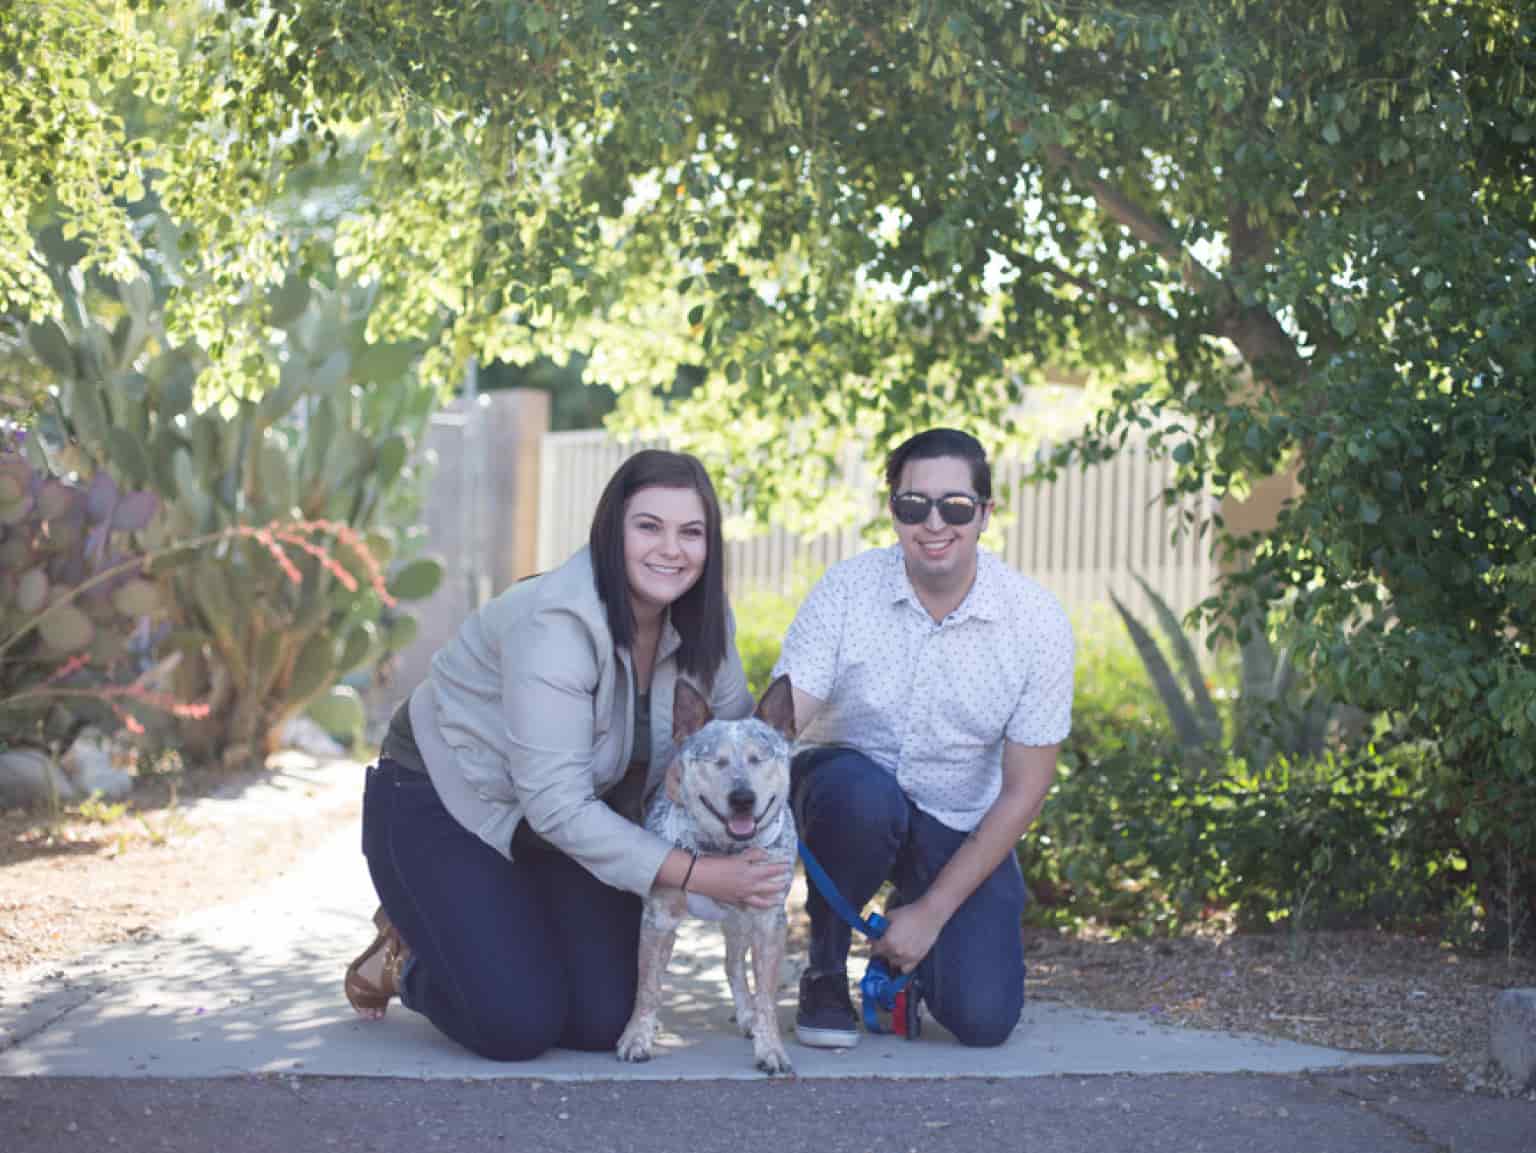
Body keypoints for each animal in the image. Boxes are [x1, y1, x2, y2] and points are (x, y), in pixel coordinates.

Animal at [614, 672, 798, 1080]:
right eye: (716, 760)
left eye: (759, 758)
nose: (742, 798)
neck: (723, 851)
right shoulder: (658, 918)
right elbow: (646, 985)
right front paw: (636, 1037)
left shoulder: (768, 921)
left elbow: (766, 997)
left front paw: (771, 1048)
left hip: (739, 924)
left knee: (733, 965)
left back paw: (747, 1016)